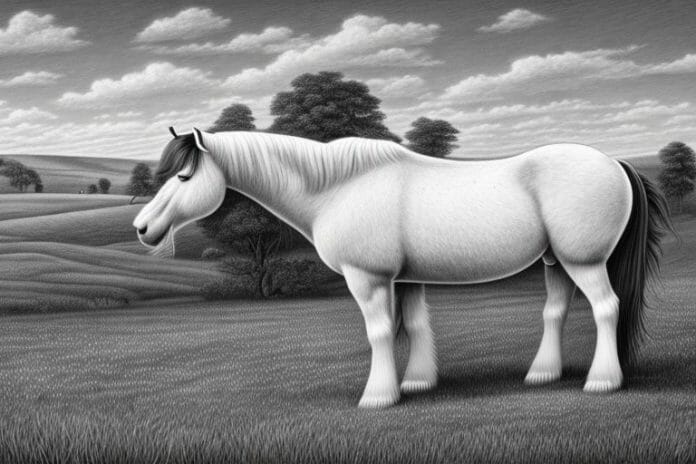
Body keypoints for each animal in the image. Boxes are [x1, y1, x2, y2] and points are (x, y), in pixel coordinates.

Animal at [133, 127, 671, 408]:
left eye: (184, 176)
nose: (143, 228)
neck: (339, 187)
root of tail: (613, 162)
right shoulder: (407, 279)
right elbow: (415, 325)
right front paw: (416, 382)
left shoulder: (368, 280)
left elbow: (380, 334)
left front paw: (379, 396)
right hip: (556, 261)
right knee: (555, 311)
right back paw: (543, 375)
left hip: (585, 261)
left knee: (605, 308)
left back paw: (602, 381)